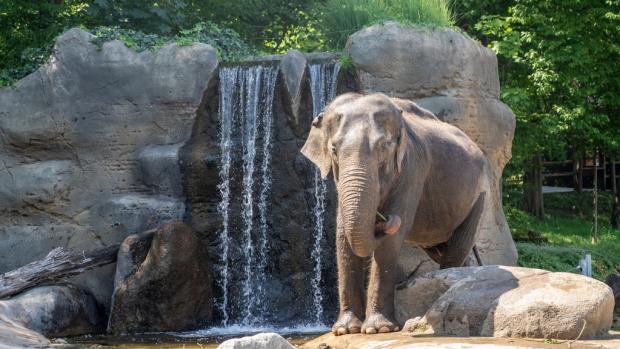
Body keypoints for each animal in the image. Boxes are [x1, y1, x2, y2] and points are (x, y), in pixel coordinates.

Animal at [300, 92, 490, 334]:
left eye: (383, 147)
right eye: (333, 149)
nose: (382, 219)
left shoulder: (412, 168)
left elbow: (391, 240)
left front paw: (377, 329)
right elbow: (343, 233)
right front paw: (345, 330)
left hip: (481, 195)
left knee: (458, 245)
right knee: (444, 249)